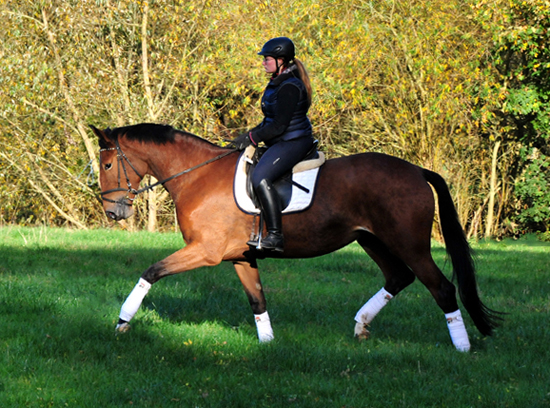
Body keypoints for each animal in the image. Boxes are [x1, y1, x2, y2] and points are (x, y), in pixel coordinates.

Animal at [91, 122, 504, 352]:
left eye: (108, 164)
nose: (113, 212)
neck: (197, 175)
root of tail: (417, 171)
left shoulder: (204, 251)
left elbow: (151, 272)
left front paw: (122, 321)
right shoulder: (240, 256)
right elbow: (257, 300)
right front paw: (268, 345)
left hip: (409, 242)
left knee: (441, 287)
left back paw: (462, 348)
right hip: (371, 240)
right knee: (398, 277)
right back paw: (361, 326)